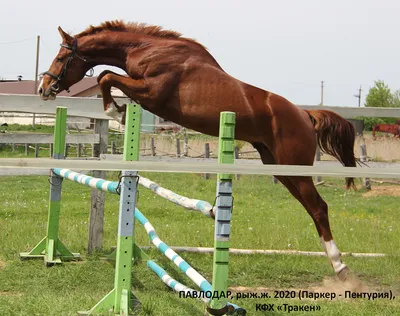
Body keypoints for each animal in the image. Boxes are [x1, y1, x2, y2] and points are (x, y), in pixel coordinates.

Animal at [38, 21, 356, 280]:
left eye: (61, 57)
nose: (44, 88)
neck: (146, 49)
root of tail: (305, 114)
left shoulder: (151, 91)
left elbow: (105, 76)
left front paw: (116, 112)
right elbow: (106, 74)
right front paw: (118, 111)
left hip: (295, 168)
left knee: (319, 207)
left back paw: (340, 266)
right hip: (279, 167)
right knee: (311, 207)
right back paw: (334, 262)